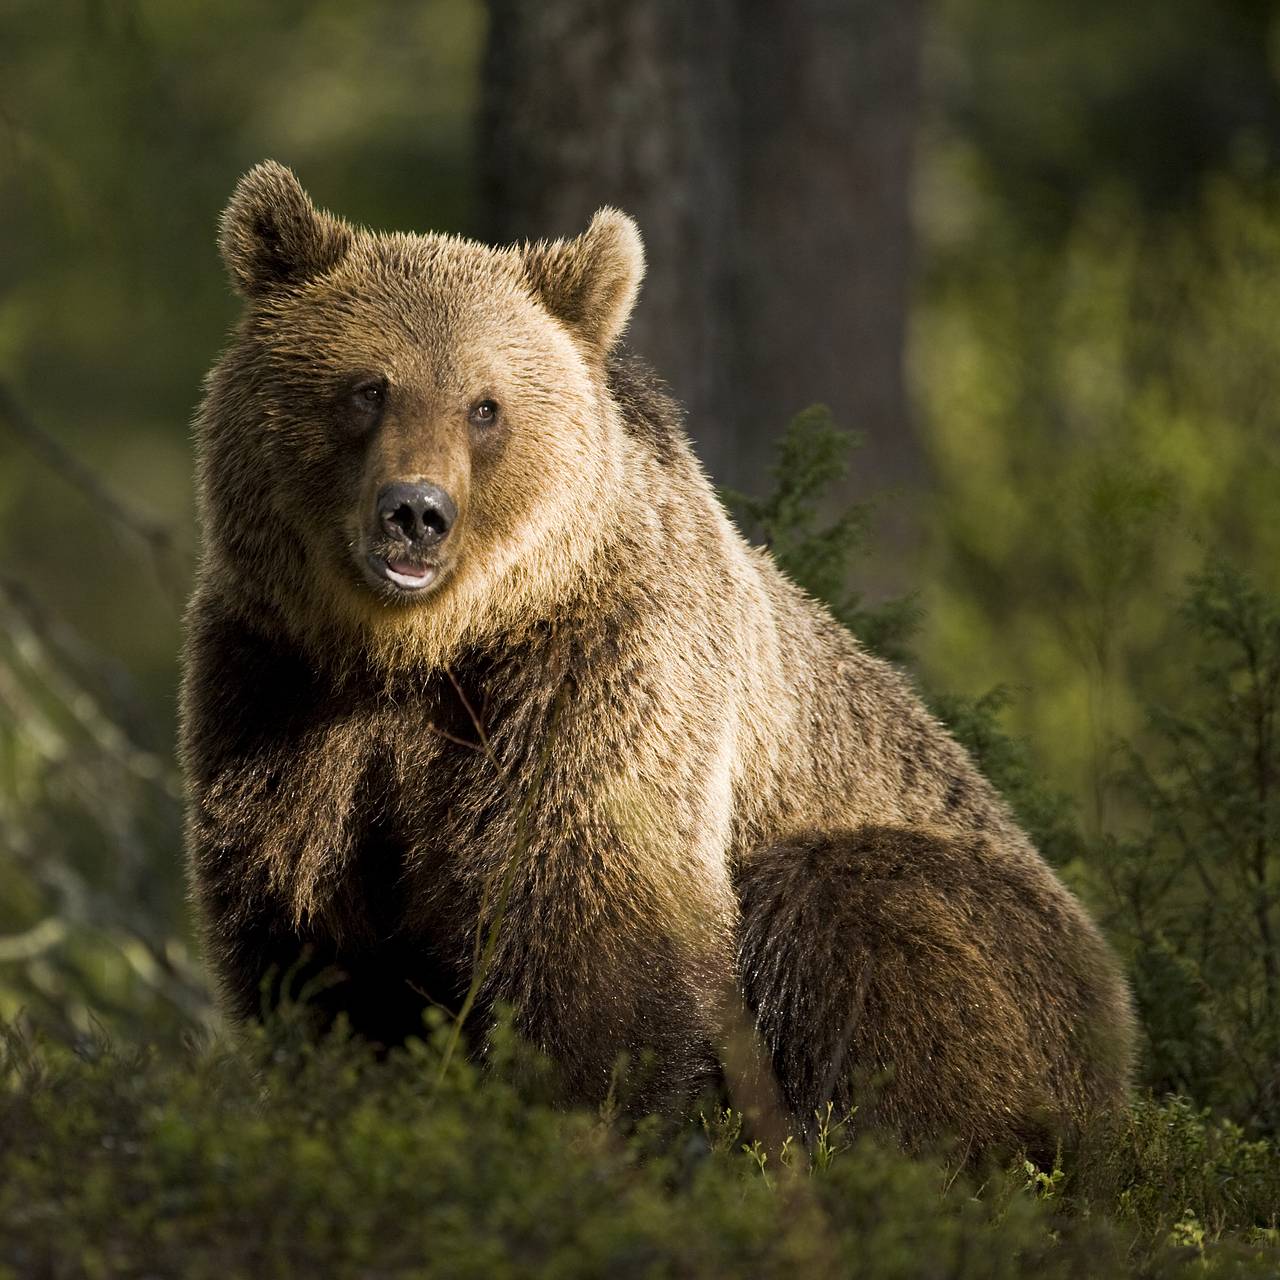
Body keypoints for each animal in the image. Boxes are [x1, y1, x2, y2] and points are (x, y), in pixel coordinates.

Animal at [180, 162, 1131, 1162]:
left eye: (485, 406)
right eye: (369, 388)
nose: (416, 511)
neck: (424, 651)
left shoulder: (599, 675)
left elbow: (597, 922)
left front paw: (587, 1121)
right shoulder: (278, 688)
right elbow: (309, 933)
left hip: (1000, 947)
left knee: (852, 916)